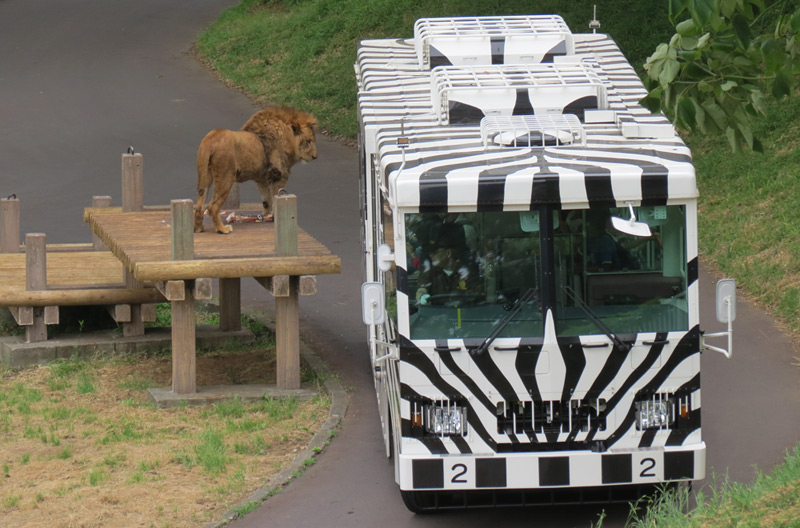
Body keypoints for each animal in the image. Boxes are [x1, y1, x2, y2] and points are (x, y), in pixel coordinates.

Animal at [195, 105, 318, 233]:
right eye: (309, 141)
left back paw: (198, 229)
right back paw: (222, 229)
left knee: (199, 206)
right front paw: (274, 216)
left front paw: (265, 216)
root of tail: (211, 139)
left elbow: (266, 202)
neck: (287, 139)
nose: (315, 156)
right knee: (212, 207)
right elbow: (275, 198)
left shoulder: (262, 179)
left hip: (205, 177)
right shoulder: (277, 175)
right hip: (226, 177)